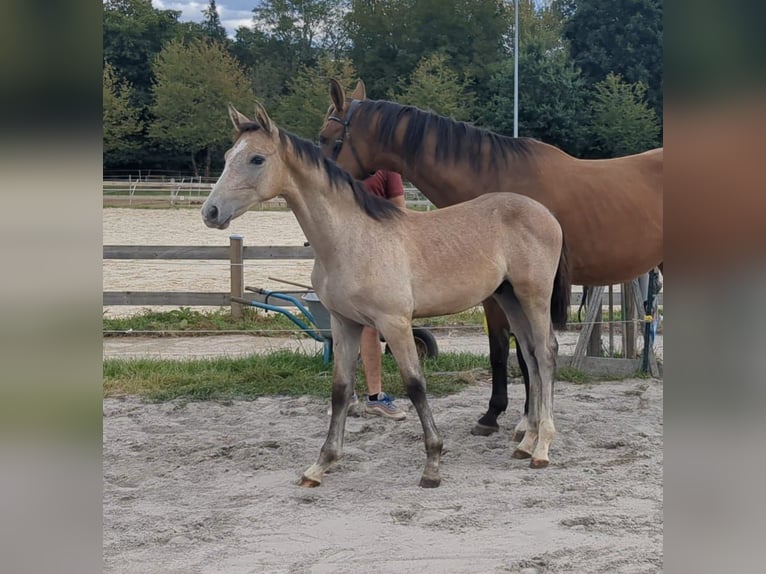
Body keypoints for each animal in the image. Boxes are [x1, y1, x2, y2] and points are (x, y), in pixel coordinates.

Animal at [201, 102, 571, 488]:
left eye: (257, 158)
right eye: (227, 156)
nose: (210, 212)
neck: (352, 238)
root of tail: (546, 213)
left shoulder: (395, 323)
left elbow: (415, 384)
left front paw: (432, 464)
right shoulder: (343, 323)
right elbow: (340, 388)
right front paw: (321, 465)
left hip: (534, 296)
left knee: (546, 352)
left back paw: (542, 447)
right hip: (509, 297)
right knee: (529, 354)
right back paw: (526, 442)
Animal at [318, 79, 663, 439]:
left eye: (326, 137)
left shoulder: (508, 293)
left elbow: (517, 354)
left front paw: (514, 417)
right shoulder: (499, 293)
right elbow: (506, 351)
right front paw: (511, 415)